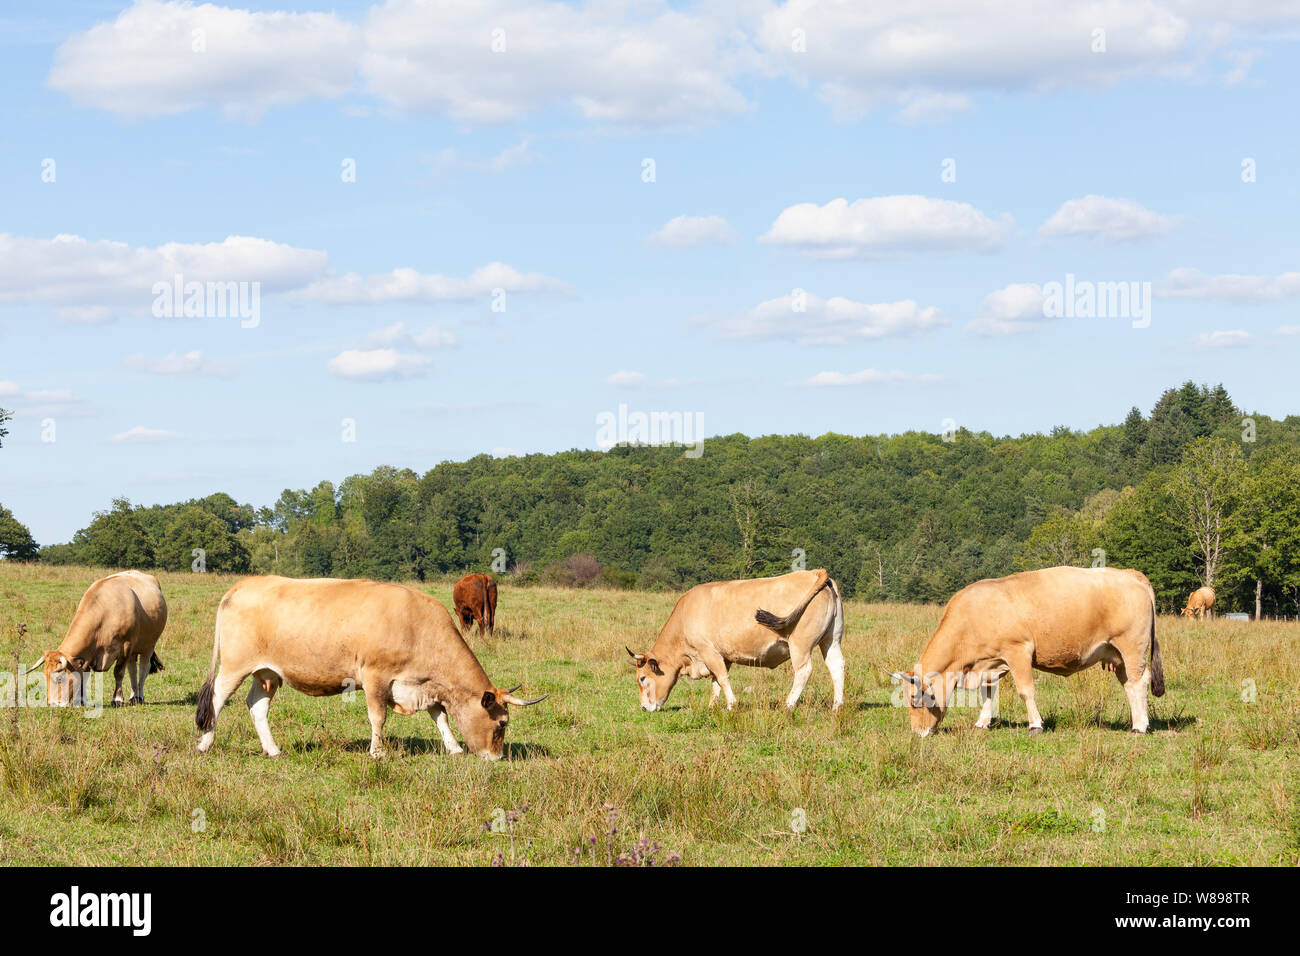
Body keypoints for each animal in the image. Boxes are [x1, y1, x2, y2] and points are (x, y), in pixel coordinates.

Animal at [30, 567, 166, 712]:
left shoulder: (126, 646)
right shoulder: (88, 655)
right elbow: (84, 676)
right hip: (133, 651)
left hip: (149, 645)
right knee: (133, 670)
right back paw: (133, 696)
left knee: (143, 669)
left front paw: (117, 699)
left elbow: (119, 672)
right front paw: (82, 701)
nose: (52, 704)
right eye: (45, 676)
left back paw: (139, 696)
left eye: (59, 677)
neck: (105, 613)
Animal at [192, 580, 543, 759]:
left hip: (267, 673)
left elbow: (440, 716)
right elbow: (378, 717)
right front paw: (377, 752)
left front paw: (454, 747)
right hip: (235, 666)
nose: (497, 757)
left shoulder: (425, 684)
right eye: (501, 723)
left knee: (257, 706)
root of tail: (244, 584)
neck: (417, 626)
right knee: (217, 700)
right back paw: (205, 744)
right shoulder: (375, 678)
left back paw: (273, 750)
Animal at [626, 567, 842, 712]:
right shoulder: (723, 656)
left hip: (800, 645)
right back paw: (837, 707)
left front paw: (731, 705)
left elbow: (722, 678)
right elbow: (716, 681)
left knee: (803, 672)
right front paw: (712, 706)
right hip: (831, 640)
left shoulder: (708, 651)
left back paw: (788, 705)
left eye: (642, 678)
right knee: (837, 667)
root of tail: (814, 572)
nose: (644, 707)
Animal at [889, 567, 1164, 738]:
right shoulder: (989, 663)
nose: (918, 733)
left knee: (1139, 683)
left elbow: (1026, 691)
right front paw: (982, 723)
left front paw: (1035, 725)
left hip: (1132, 647)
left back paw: (1140, 726)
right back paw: (1136, 722)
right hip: (1117, 655)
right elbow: (987, 695)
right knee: (1129, 686)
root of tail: (1129, 574)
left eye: (915, 700)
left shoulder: (1017, 651)